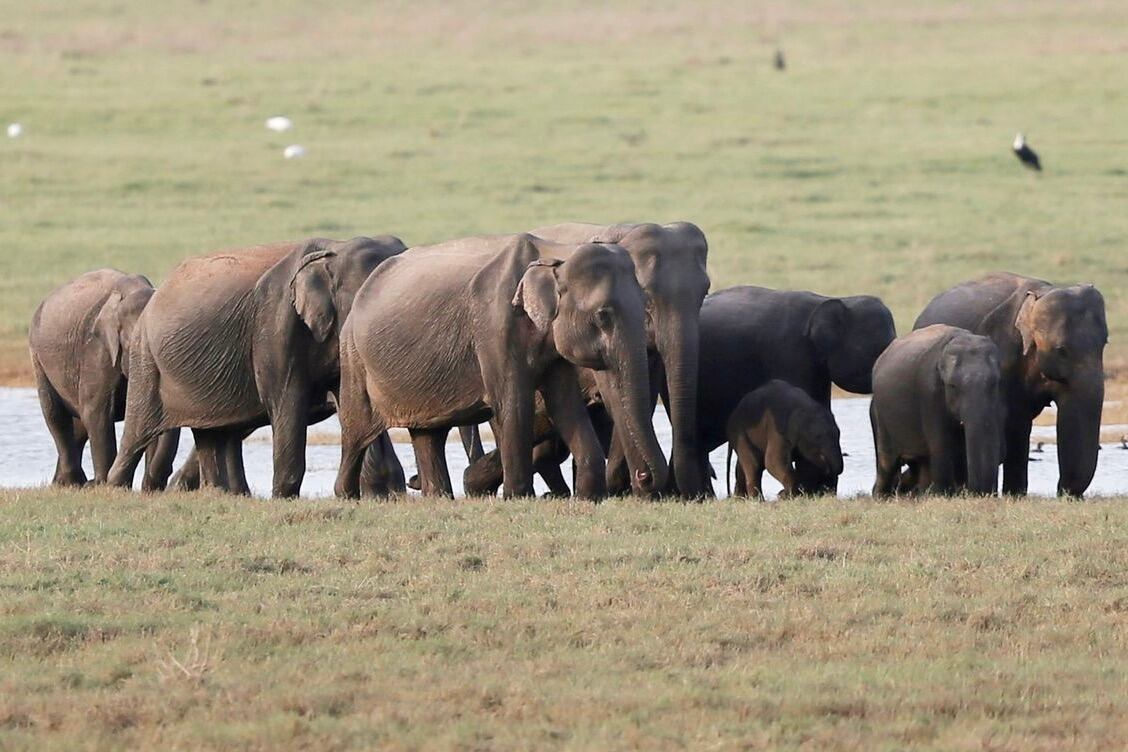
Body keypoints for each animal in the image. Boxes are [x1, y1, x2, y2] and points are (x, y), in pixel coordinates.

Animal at [29, 269, 179, 489]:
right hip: (38, 357)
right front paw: (103, 485)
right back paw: (77, 482)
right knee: (55, 414)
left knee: (79, 425)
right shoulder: (97, 350)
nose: (161, 479)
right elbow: (97, 412)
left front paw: (148, 490)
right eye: (135, 345)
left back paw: (64, 483)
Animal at [106, 236, 407, 497]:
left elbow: (353, 406)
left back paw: (223, 493)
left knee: (214, 434)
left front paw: (379, 494)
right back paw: (115, 487)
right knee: (139, 428)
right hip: (146, 356)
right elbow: (288, 401)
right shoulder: (274, 321)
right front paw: (284, 497)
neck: (337, 250)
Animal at [334, 233, 668, 500]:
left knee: (428, 435)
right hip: (353, 357)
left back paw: (438, 497)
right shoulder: (495, 325)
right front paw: (518, 498)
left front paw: (589, 498)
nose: (643, 478)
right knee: (356, 431)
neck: (555, 254)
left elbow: (565, 404)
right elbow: (513, 403)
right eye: (602, 316)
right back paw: (347, 495)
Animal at [870, 325, 1004, 497]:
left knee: (921, 463)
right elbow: (940, 442)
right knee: (888, 462)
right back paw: (882, 496)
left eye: (994, 383)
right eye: (953, 386)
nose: (981, 493)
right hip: (881, 416)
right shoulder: (929, 392)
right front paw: (945, 495)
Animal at [914, 273, 1107, 497]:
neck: (1040, 293)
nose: (1063, 492)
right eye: (1061, 351)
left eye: (1104, 344)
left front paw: (1015, 495)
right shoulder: (1003, 351)